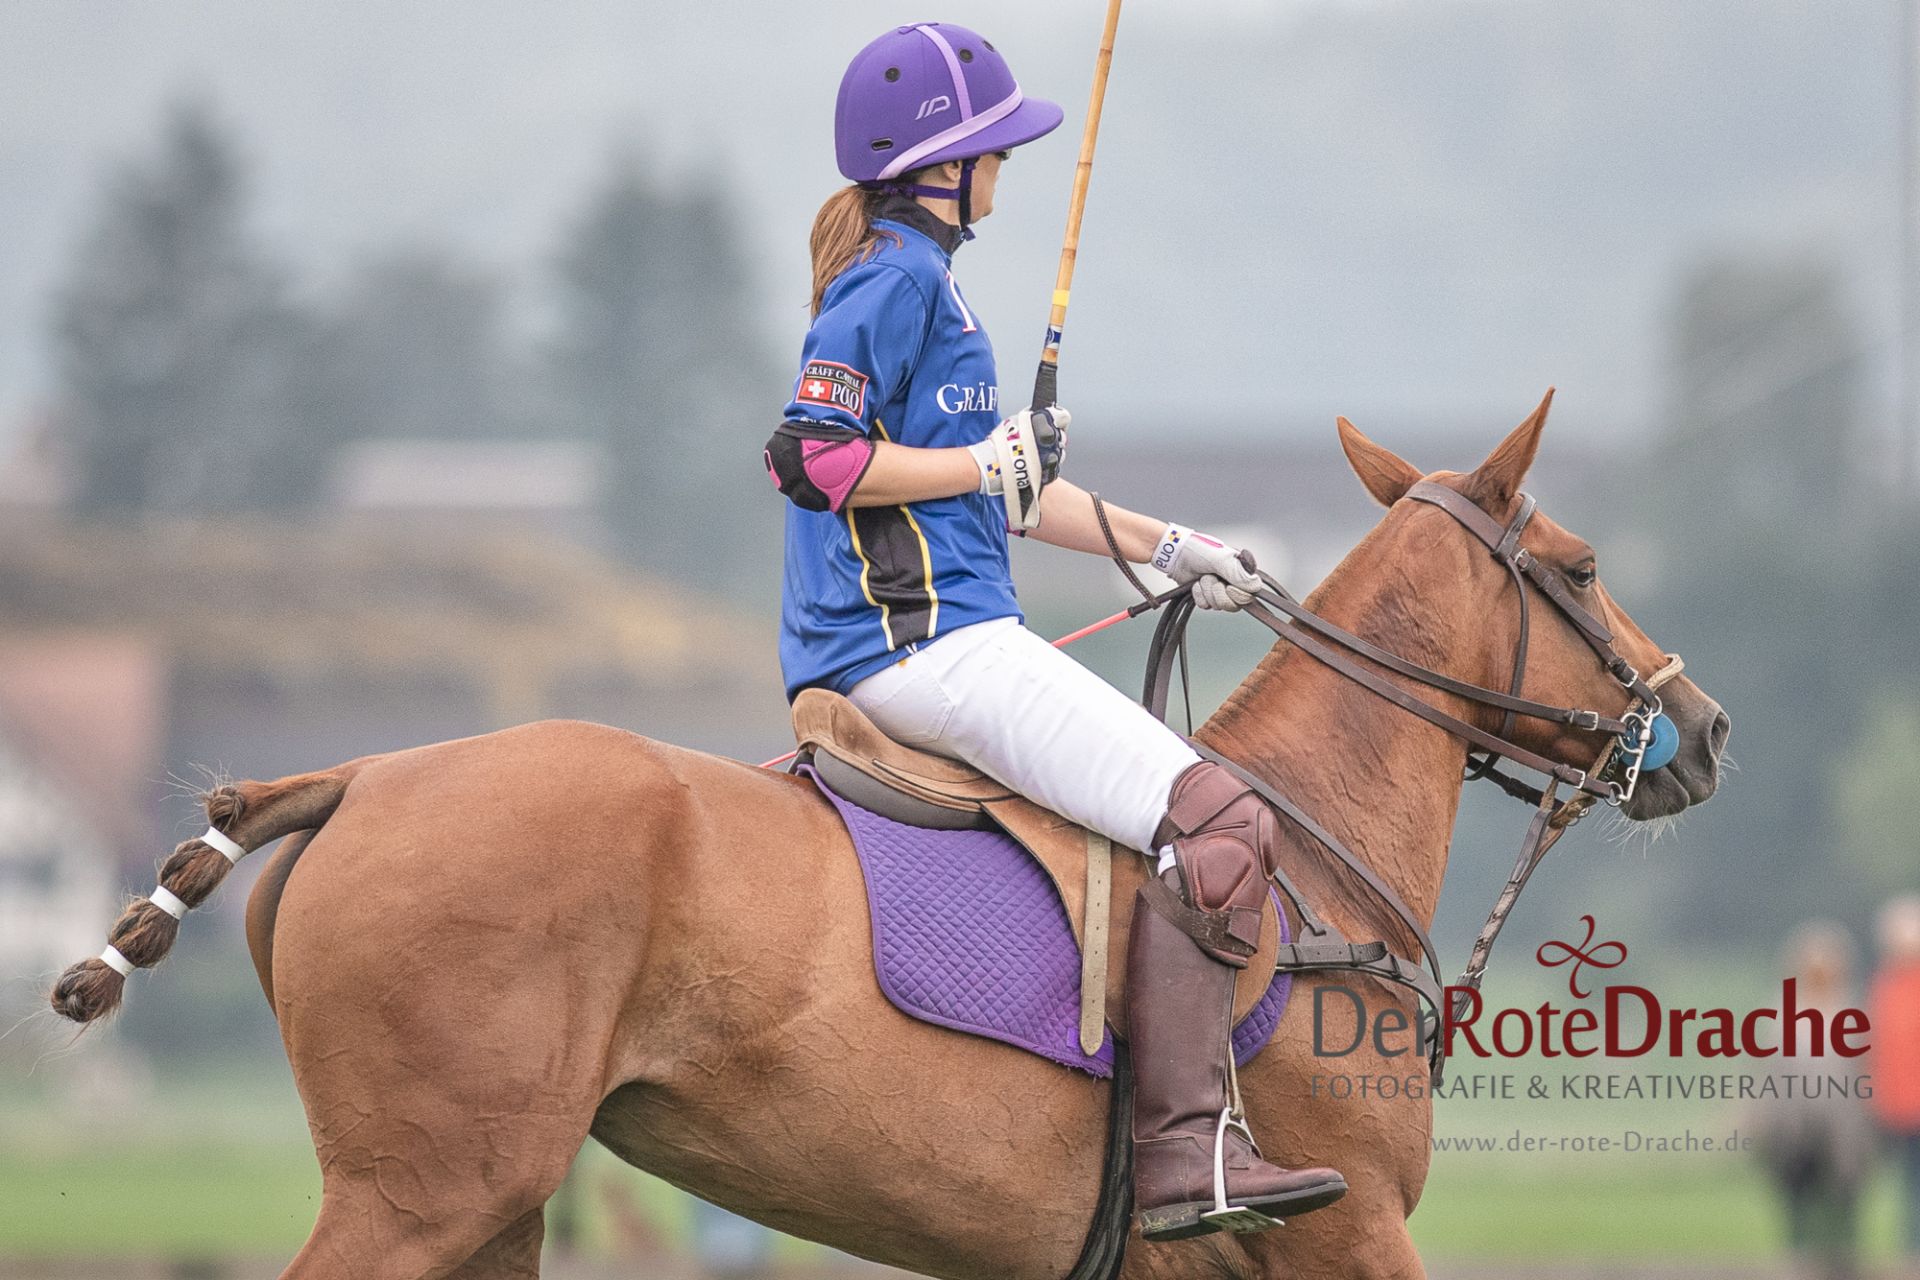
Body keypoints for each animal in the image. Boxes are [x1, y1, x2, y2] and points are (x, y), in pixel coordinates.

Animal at [51, 394, 1728, 1280]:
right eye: (1583, 566)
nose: (1703, 728)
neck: (1317, 863)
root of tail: (362, 776)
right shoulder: (1352, 1227)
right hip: (421, 1192)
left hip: (494, 1202)